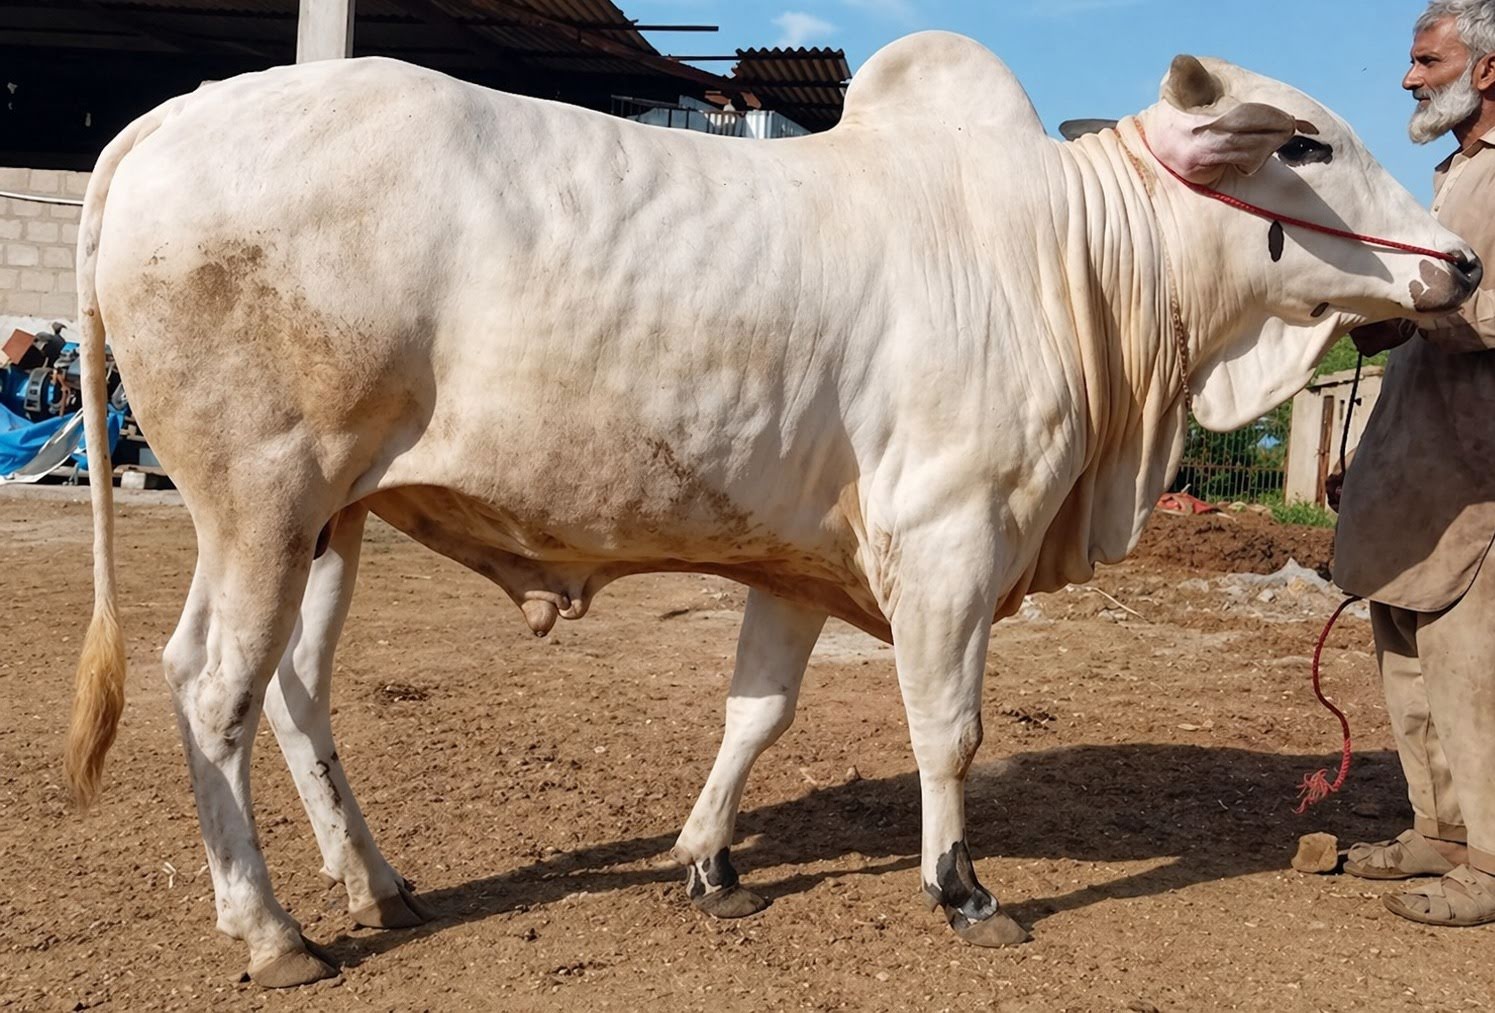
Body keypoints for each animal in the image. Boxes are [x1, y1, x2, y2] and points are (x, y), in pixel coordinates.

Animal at [64, 32, 1477, 986]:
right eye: (1302, 144)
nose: (1461, 264)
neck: (1076, 262)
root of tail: (168, 120)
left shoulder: (794, 569)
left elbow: (755, 715)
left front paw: (709, 863)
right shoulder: (952, 540)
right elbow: (948, 729)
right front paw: (960, 886)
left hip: (335, 516)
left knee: (296, 686)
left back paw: (377, 882)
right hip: (259, 497)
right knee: (212, 685)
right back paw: (272, 929)